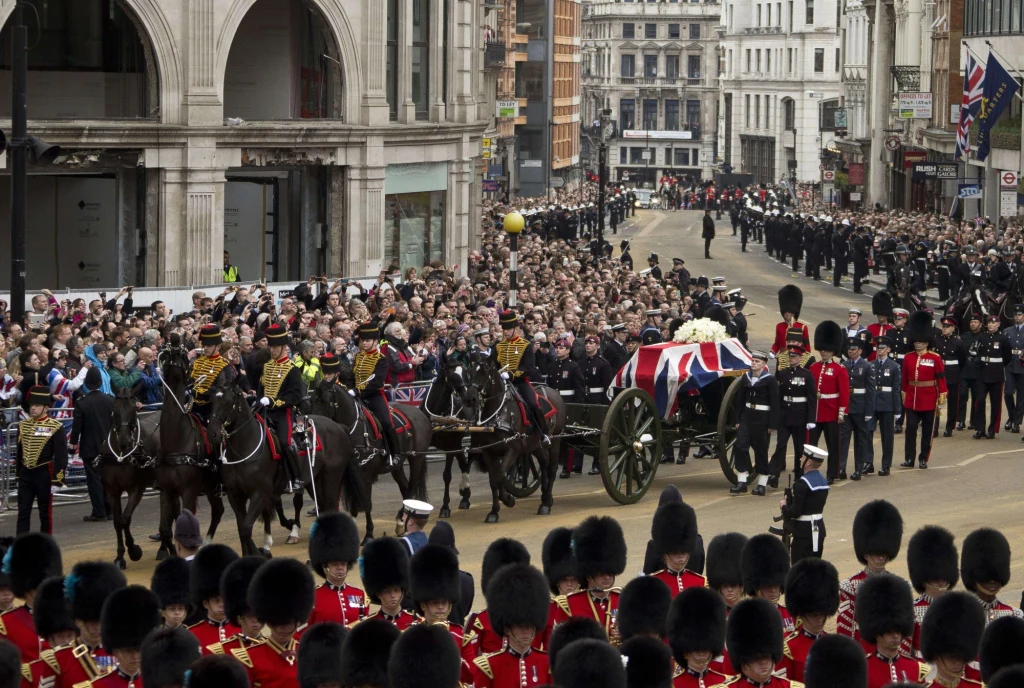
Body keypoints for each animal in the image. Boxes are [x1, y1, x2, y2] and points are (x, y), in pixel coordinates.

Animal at [100, 388, 157, 569]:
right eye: (115, 410)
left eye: (134, 409)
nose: (124, 441)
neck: (121, 456)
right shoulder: (112, 491)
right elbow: (117, 522)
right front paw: (120, 557)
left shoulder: (137, 488)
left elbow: (125, 518)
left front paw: (134, 550)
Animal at [154, 335, 225, 560]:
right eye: (168, 351)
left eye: (183, 353)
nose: (175, 338)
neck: (176, 440)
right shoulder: (166, 490)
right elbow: (165, 529)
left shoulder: (189, 491)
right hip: (211, 488)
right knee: (218, 511)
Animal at [309, 379, 431, 542]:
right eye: (311, 400)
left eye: (325, 401)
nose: (315, 426)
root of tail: (418, 412)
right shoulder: (346, 471)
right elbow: (352, 500)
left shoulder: (365, 472)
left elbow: (366, 502)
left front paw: (368, 534)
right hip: (397, 467)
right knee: (405, 488)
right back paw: (400, 522)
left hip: (416, 459)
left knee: (410, 489)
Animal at [454, 353, 566, 523]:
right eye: (470, 372)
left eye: (485, 372)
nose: (469, 399)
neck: (498, 413)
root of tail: (554, 392)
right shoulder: (489, 452)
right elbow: (494, 480)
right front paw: (494, 511)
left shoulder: (513, 450)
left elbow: (500, 474)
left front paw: (508, 500)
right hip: (535, 445)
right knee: (544, 464)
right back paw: (545, 498)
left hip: (555, 440)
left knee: (552, 468)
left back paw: (546, 504)